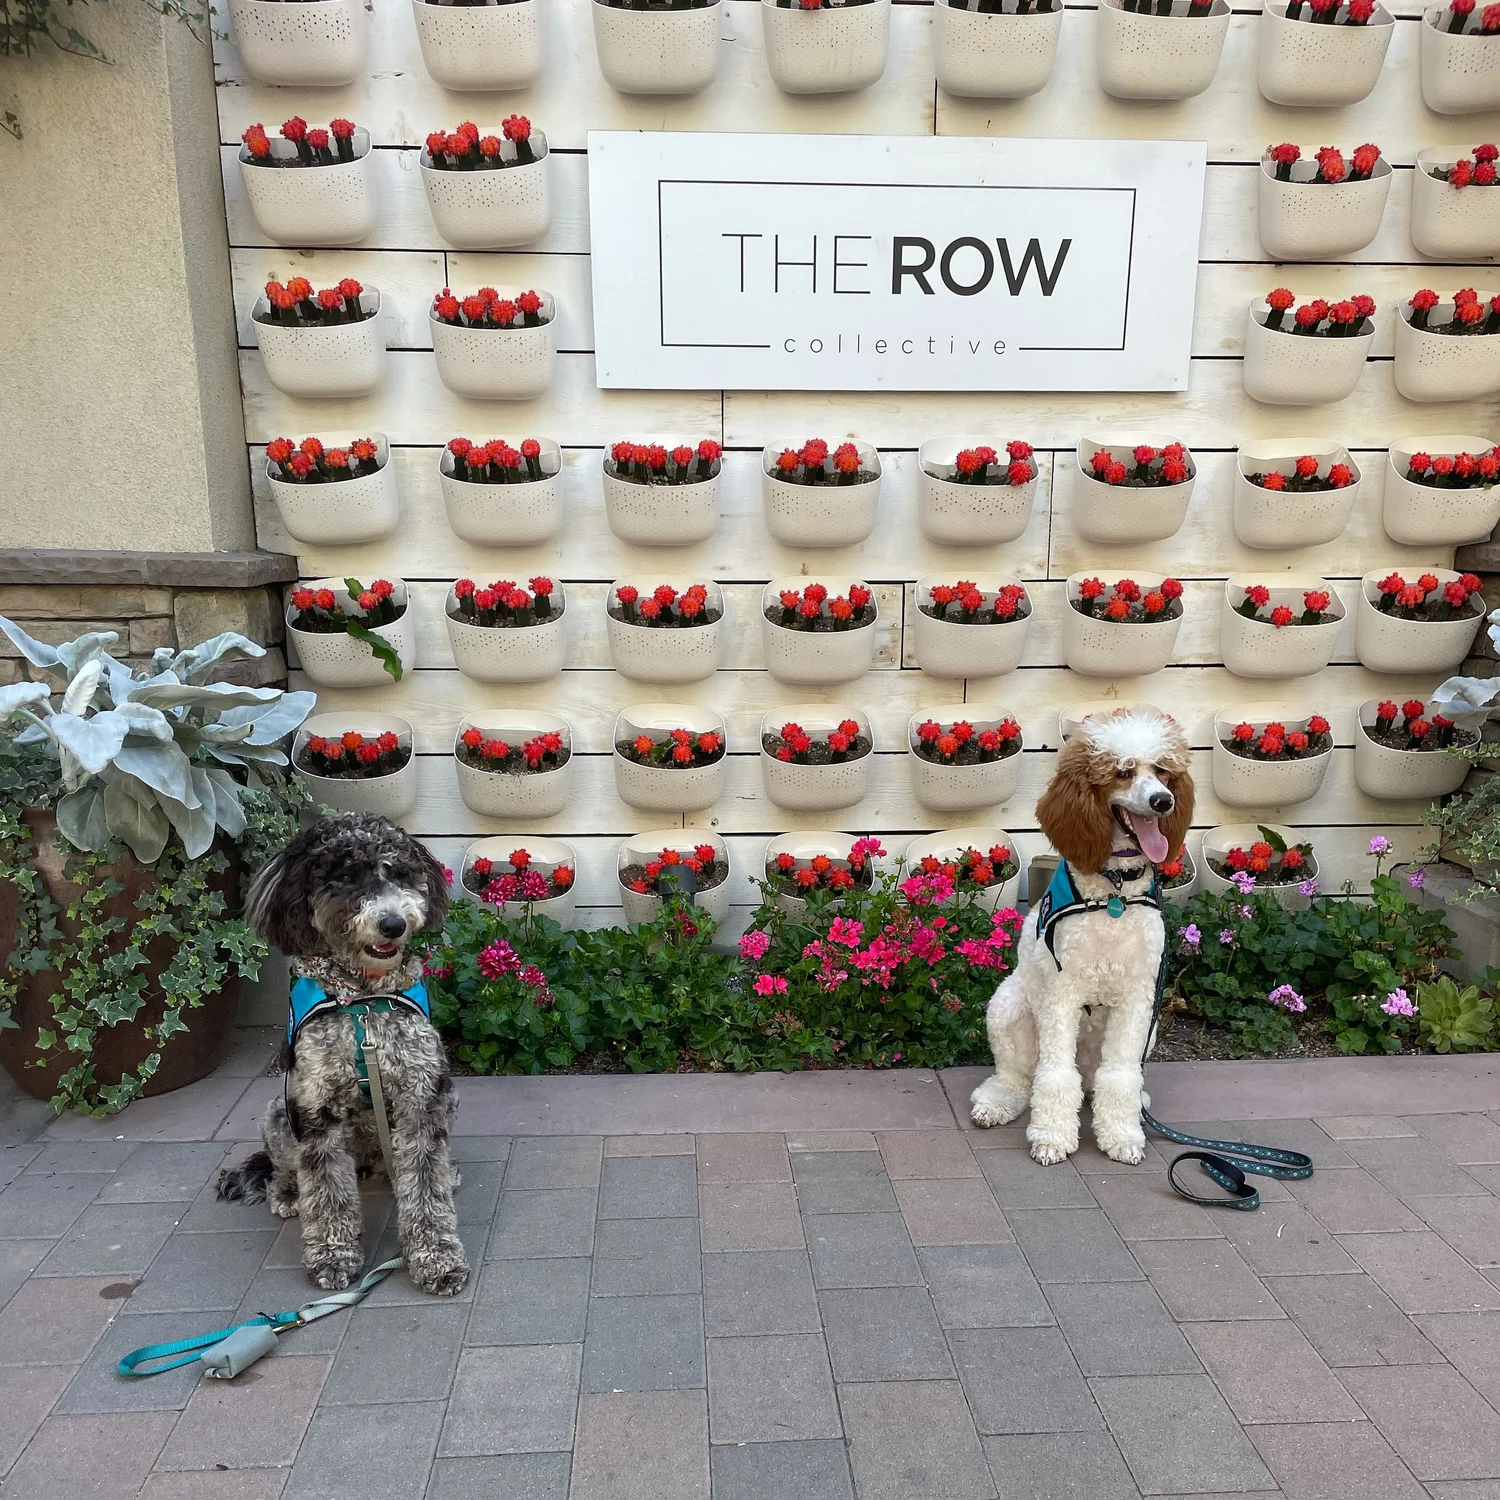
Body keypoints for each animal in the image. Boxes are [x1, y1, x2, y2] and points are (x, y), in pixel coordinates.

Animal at [216, 813, 469, 1297]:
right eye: (345, 878)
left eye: (399, 872)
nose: (392, 923)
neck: (363, 1003)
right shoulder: (316, 1110)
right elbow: (327, 1191)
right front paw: (333, 1256)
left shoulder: (420, 1097)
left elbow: (426, 1189)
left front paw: (437, 1257)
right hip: (278, 1113)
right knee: (284, 1168)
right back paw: (287, 1194)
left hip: (447, 1098)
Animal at [969, 708, 1193, 1166]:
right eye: (1123, 772)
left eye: (1163, 770)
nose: (1163, 801)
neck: (1114, 893)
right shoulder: (1062, 991)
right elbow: (1055, 1076)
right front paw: (1052, 1139)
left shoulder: (1138, 996)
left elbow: (1120, 1075)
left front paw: (1122, 1134)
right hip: (1008, 1008)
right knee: (1020, 1077)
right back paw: (996, 1103)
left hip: (1148, 1033)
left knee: (1102, 1080)